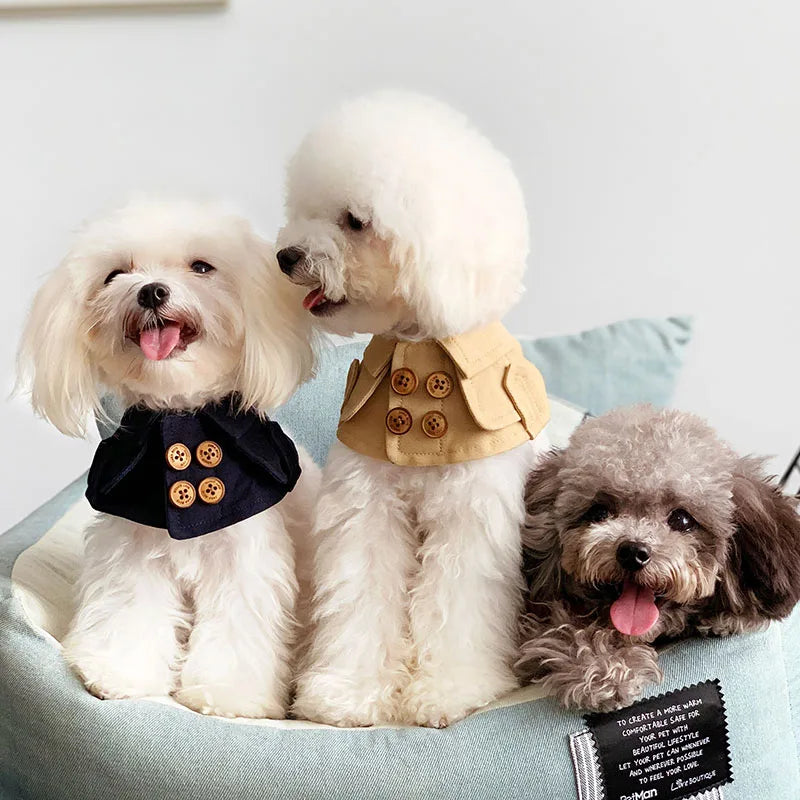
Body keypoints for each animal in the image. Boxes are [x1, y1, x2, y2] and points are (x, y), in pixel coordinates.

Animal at [18, 200, 318, 720]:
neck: (179, 413)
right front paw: (120, 673)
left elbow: (238, 628)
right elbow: (131, 610)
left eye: (202, 267)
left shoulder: (245, 558)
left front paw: (228, 694)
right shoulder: (134, 551)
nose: (151, 291)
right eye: (115, 274)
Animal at [276, 92, 552, 724]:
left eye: (355, 221)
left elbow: (456, 604)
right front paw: (349, 692)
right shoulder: (367, 509)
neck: (422, 351)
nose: (286, 255)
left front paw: (449, 690)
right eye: (305, 210)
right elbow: (361, 594)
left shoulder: (472, 518)